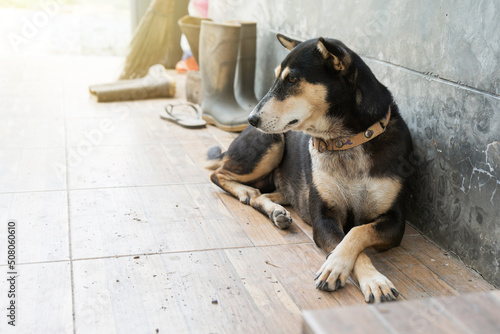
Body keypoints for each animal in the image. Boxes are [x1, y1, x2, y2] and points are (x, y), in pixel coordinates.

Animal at [205, 34, 412, 302]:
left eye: (292, 80)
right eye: (276, 77)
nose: (251, 118)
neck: (346, 141)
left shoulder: (395, 221)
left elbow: (358, 232)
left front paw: (366, 277)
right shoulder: (324, 218)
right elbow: (348, 241)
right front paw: (351, 272)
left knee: (263, 194)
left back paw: (276, 211)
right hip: (271, 144)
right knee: (219, 173)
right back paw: (246, 192)